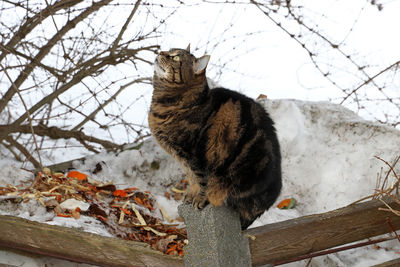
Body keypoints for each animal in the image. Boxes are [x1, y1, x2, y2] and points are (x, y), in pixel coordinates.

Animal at [147, 45, 282, 230]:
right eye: (169, 50)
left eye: (175, 58)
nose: (161, 52)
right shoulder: (186, 163)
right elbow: (192, 180)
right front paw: (190, 196)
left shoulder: (196, 158)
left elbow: (202, 182)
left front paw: (199, 200)